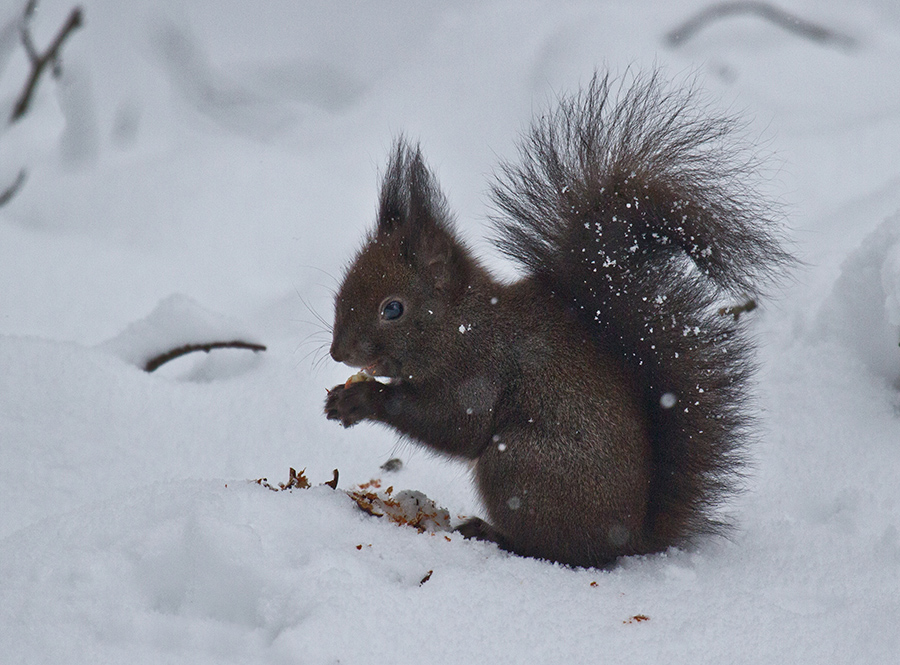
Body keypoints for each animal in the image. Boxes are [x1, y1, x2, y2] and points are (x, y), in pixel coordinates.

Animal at [322, 71, 788, 564]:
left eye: (392, 308)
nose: (338, 353)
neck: (461, 325)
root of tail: (630, 538)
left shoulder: (481, 372)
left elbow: (454, 425)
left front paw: (362, 399)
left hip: (517, 465)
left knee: (550, 548)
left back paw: (491, 534)